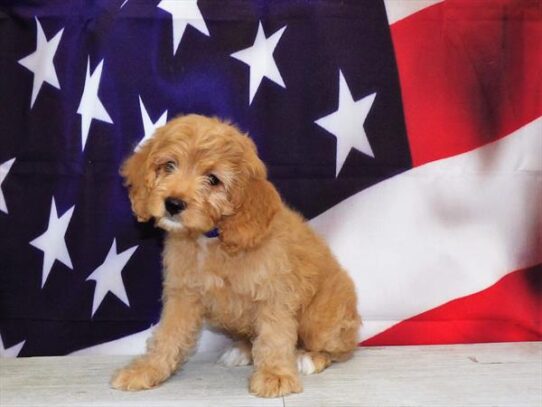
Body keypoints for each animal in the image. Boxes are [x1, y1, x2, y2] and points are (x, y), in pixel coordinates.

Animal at [112, 115, 364, 398]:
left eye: (213, 180)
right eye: (169, 165)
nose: (173, 203)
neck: (212, 238)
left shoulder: (273, 295)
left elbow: (274, 337)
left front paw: (275, 375)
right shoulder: (182, 295)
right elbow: (167, 336)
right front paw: (146, 370)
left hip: (321, 320)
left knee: (342, 349)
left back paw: (310, 357)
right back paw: (241, 350)